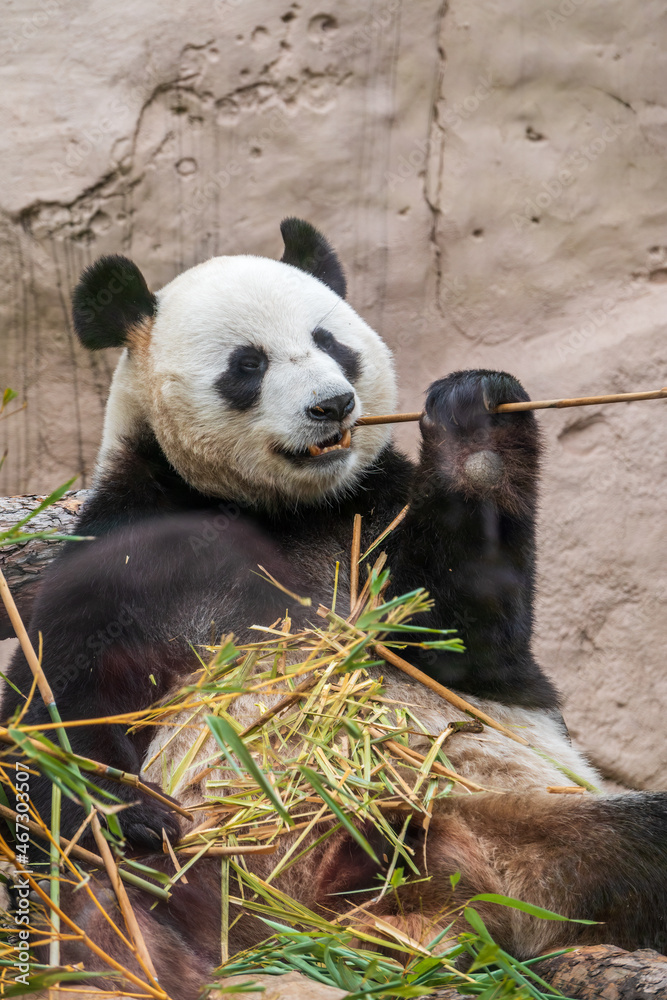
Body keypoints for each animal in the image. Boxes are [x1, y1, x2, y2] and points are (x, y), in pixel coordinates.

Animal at [4, 218, 667, 998]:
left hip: (522, 824)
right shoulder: (127, 547)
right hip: (204, 877)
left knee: (635, 847)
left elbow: (466, 644)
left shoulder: (371, 514)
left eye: (329, 341)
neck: (279, 509)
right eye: (248, 364)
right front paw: (128, 808)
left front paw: (475, 432)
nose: (332, 404)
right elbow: (54, 709)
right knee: (95, 900)